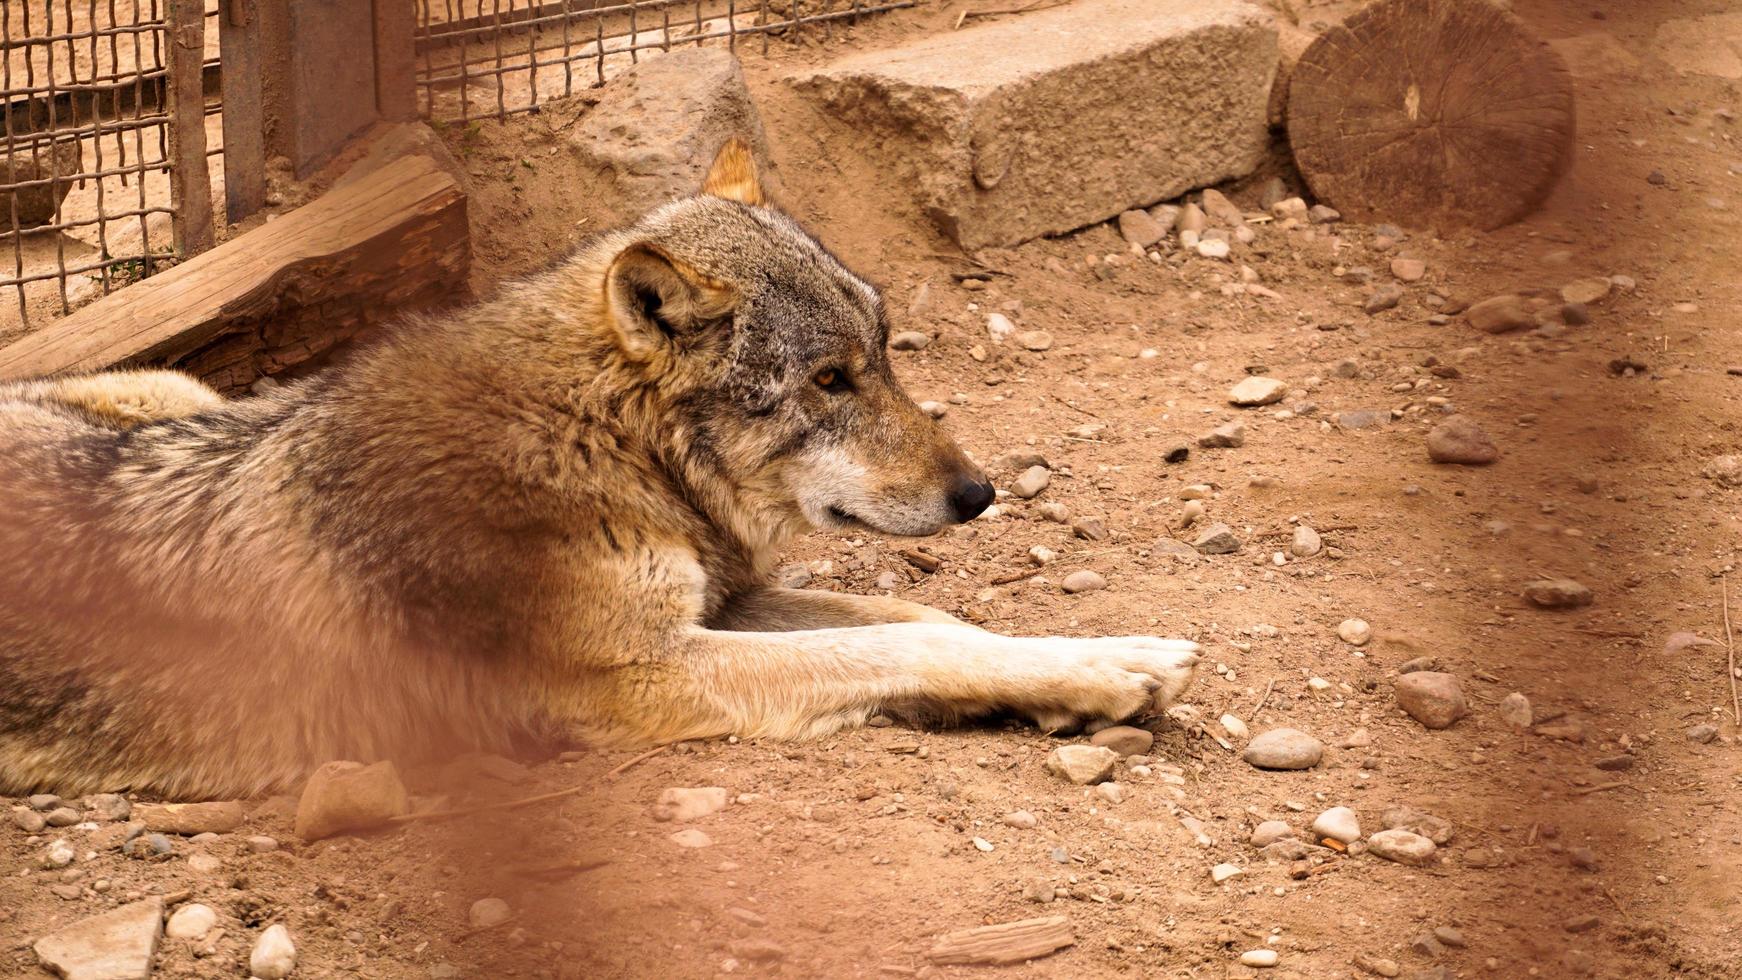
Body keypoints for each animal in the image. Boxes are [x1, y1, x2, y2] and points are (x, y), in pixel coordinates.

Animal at [0, 141, 1198, 800]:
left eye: (886, 351)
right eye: (829, 379)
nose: (978, 493)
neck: (600, 446)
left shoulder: (721, 602)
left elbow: (933, 622)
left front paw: (1092, 660)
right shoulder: (642, 676)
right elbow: (899, 643)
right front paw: (1102, 671)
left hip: (181, 393)